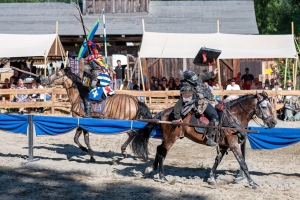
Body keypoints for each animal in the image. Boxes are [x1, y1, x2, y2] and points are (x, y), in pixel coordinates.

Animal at [132, 89, 278, 189]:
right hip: (170, 138)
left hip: (168, 138)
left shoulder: (224, 146)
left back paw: (151, 169)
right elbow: (243, 163)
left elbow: (217, 161)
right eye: (264, 106)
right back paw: (162, 177)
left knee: (159, 150)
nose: (273, 122)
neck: (233, 116)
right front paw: (253, 183)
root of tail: (164, 112)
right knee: (162, 152)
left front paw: (212, 179)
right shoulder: (233, 144)